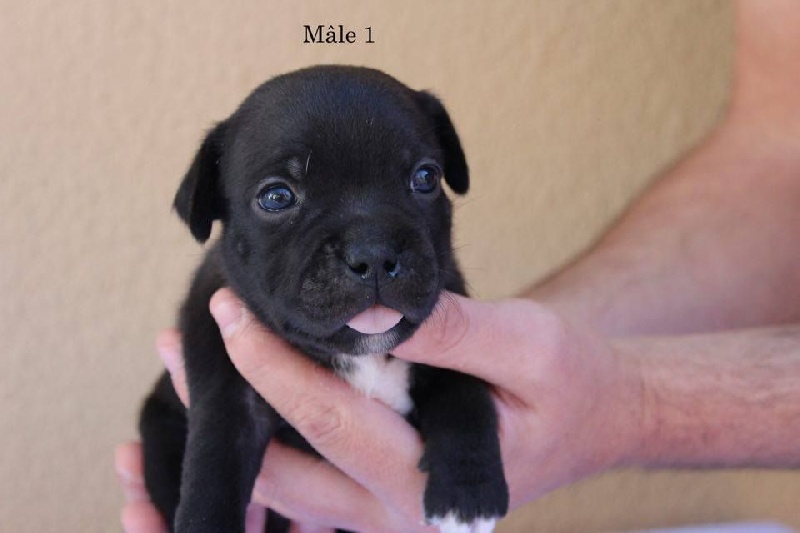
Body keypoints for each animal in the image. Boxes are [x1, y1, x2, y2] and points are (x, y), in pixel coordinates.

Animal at [139, 65, 509, 533]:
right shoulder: (223, 379)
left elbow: (463, 385)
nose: (373, 250)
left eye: (425, 178)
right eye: (277, 197)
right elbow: (215, 456)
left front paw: (469, 489)